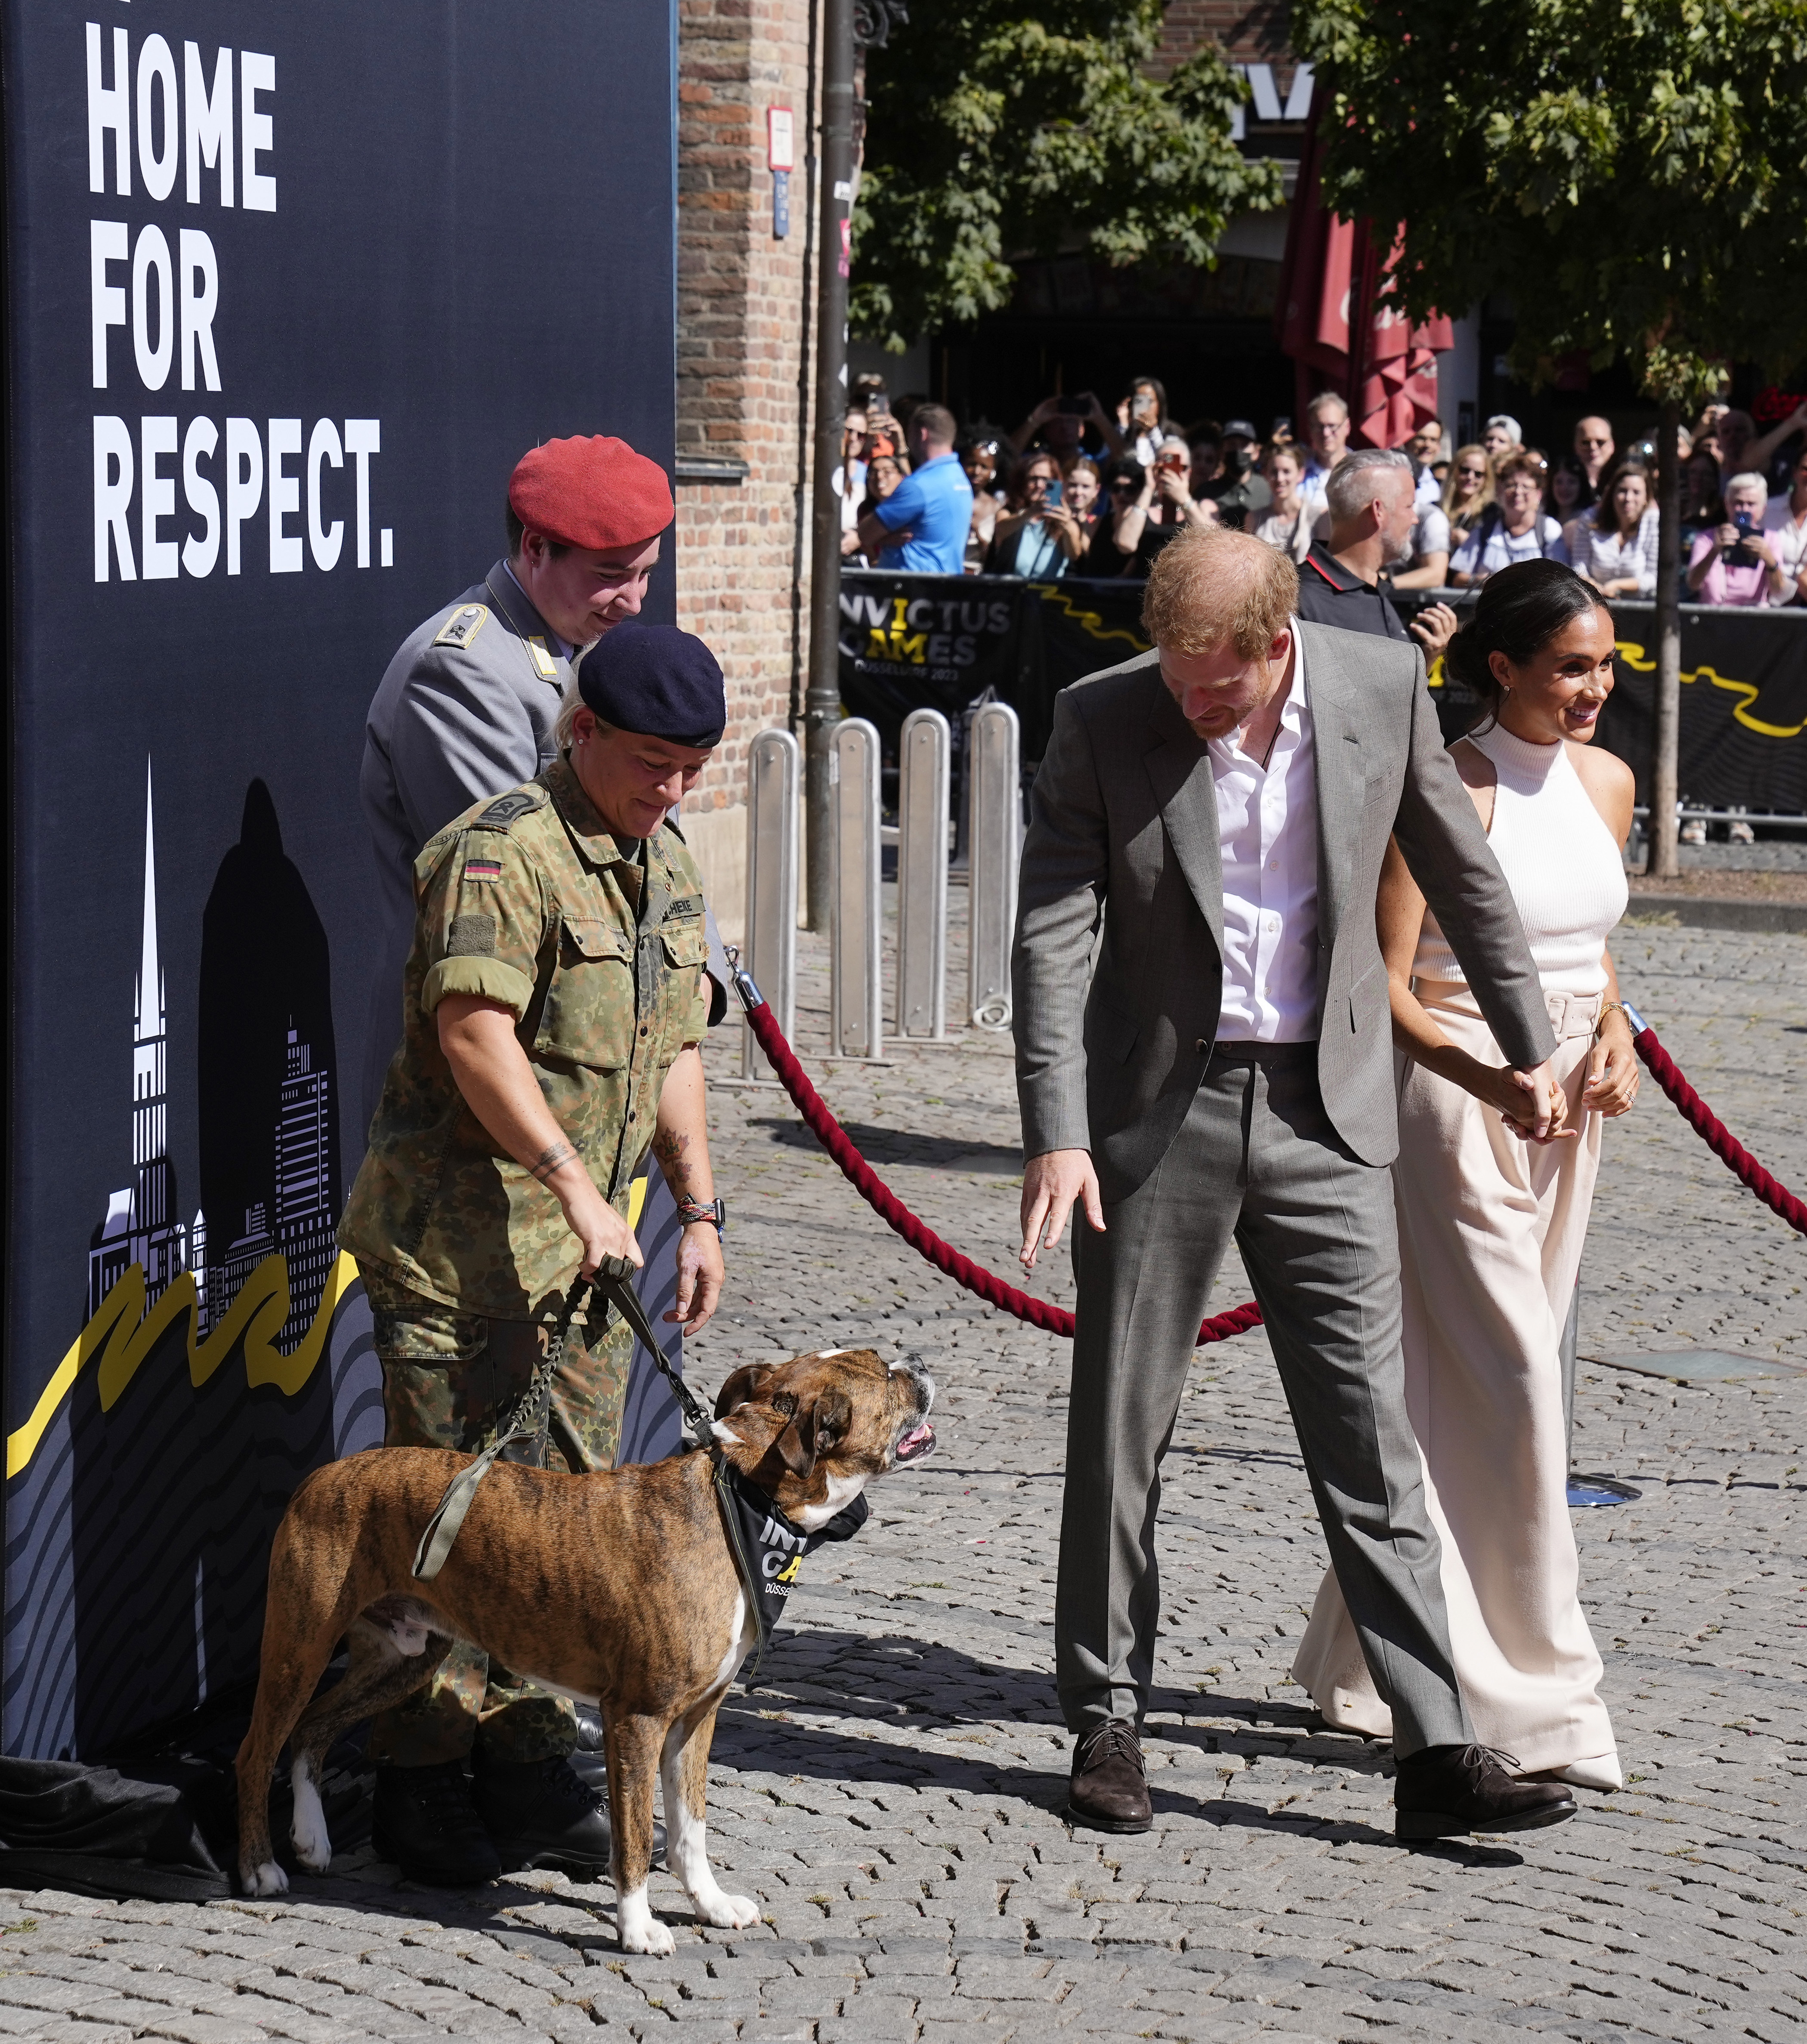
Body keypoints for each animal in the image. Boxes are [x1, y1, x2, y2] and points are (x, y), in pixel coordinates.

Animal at [236, 1349, 932, 1954]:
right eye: (883, 1372)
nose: (920, 1362)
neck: (740, 1500)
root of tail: (322, 1474)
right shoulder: (637, 1719)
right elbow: (633, 1839)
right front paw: (637, 1928)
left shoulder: (696, 1717)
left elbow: (690, 1828)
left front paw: (709, 1904)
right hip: (301, 1645)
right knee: (257, 1751)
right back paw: (260, 1869)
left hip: (404, 1656)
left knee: (311, 1732)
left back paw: (311, 1839)